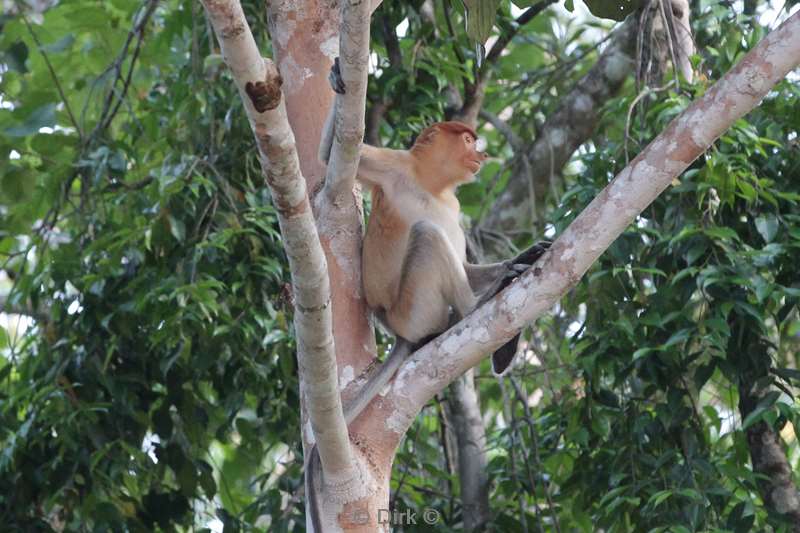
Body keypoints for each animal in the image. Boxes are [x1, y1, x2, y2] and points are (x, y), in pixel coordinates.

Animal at [306, 59, 552, 532]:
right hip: (414, 309)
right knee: (426, 235)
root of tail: (397, 329)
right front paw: (338, 79)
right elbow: (329, 157)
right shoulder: (393, 165)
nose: (482, 154)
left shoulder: (454, 207)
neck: (431, 184)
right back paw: (478, 309)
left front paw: (524, 256)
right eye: (469, 139)